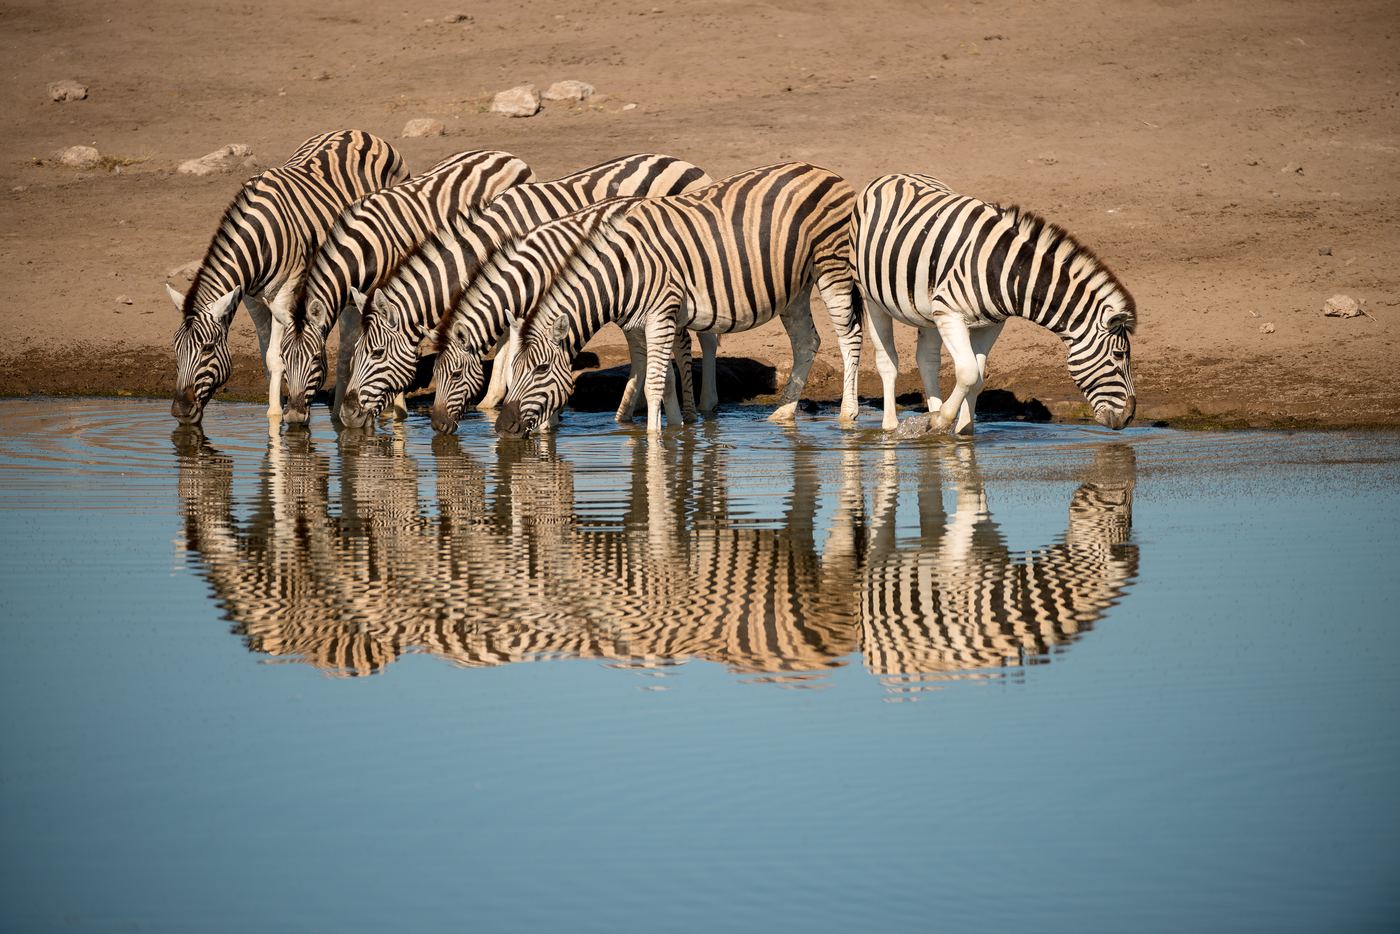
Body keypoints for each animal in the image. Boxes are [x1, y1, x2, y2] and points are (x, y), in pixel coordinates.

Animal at [168, 129, 407, 425]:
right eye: (176, 349)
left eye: (208, 349)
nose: (180, 411)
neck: (260, 236)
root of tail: (360, 132)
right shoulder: (251, 298)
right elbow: (266, 357)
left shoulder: (285, 291)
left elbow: (275, 357)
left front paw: (274, 416)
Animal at [279, 149, 534, 425]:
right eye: (283, 358)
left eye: (316, 358)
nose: (292, 416)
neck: (364, 248)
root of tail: (508, 155)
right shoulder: (351, 302)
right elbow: (347, 352)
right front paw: (338, 415)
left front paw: (396, 409)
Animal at [494, 162, 865, 437]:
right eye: (512, 369)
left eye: (541, 368)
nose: (502, 426)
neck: (620, 272)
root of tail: (825, 171)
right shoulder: (647, 321)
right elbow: (666, 380)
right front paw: (677, 431)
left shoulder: (661, 313)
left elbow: (653, 385)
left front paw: (654, 444)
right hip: (796, 287)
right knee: (807, 342)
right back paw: (783, 414)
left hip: (831, 265)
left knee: (849, 337)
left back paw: (847, 416)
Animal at [851, 173, 1137, 434]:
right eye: (1119, 354)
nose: (1130, 417)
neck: (1007, 270)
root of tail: (892, 176)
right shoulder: (949, 312)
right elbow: (967, 372)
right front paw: (940, 421)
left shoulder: (990, 324)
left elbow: (977, 378)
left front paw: (962, 432)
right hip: (872, 298)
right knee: (887, 361)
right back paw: (891, 427)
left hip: (927, 311)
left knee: (927, 360)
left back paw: (932, 411)